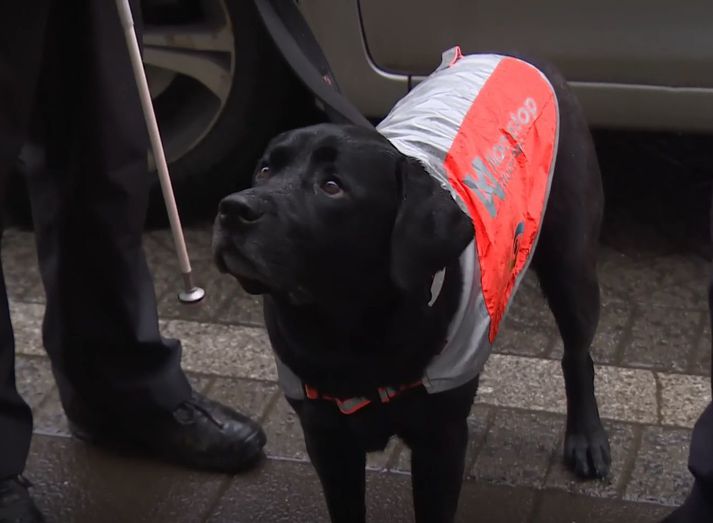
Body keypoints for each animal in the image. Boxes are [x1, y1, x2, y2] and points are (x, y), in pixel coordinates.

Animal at [213, 54, 612, 523]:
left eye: (332, 186)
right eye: (264, 169)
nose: (233, 208)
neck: (347, 335)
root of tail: (526, 58)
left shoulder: (439, 442)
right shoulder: (326, 440)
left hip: (571, 264)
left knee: (577, 355)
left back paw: (586, 438)